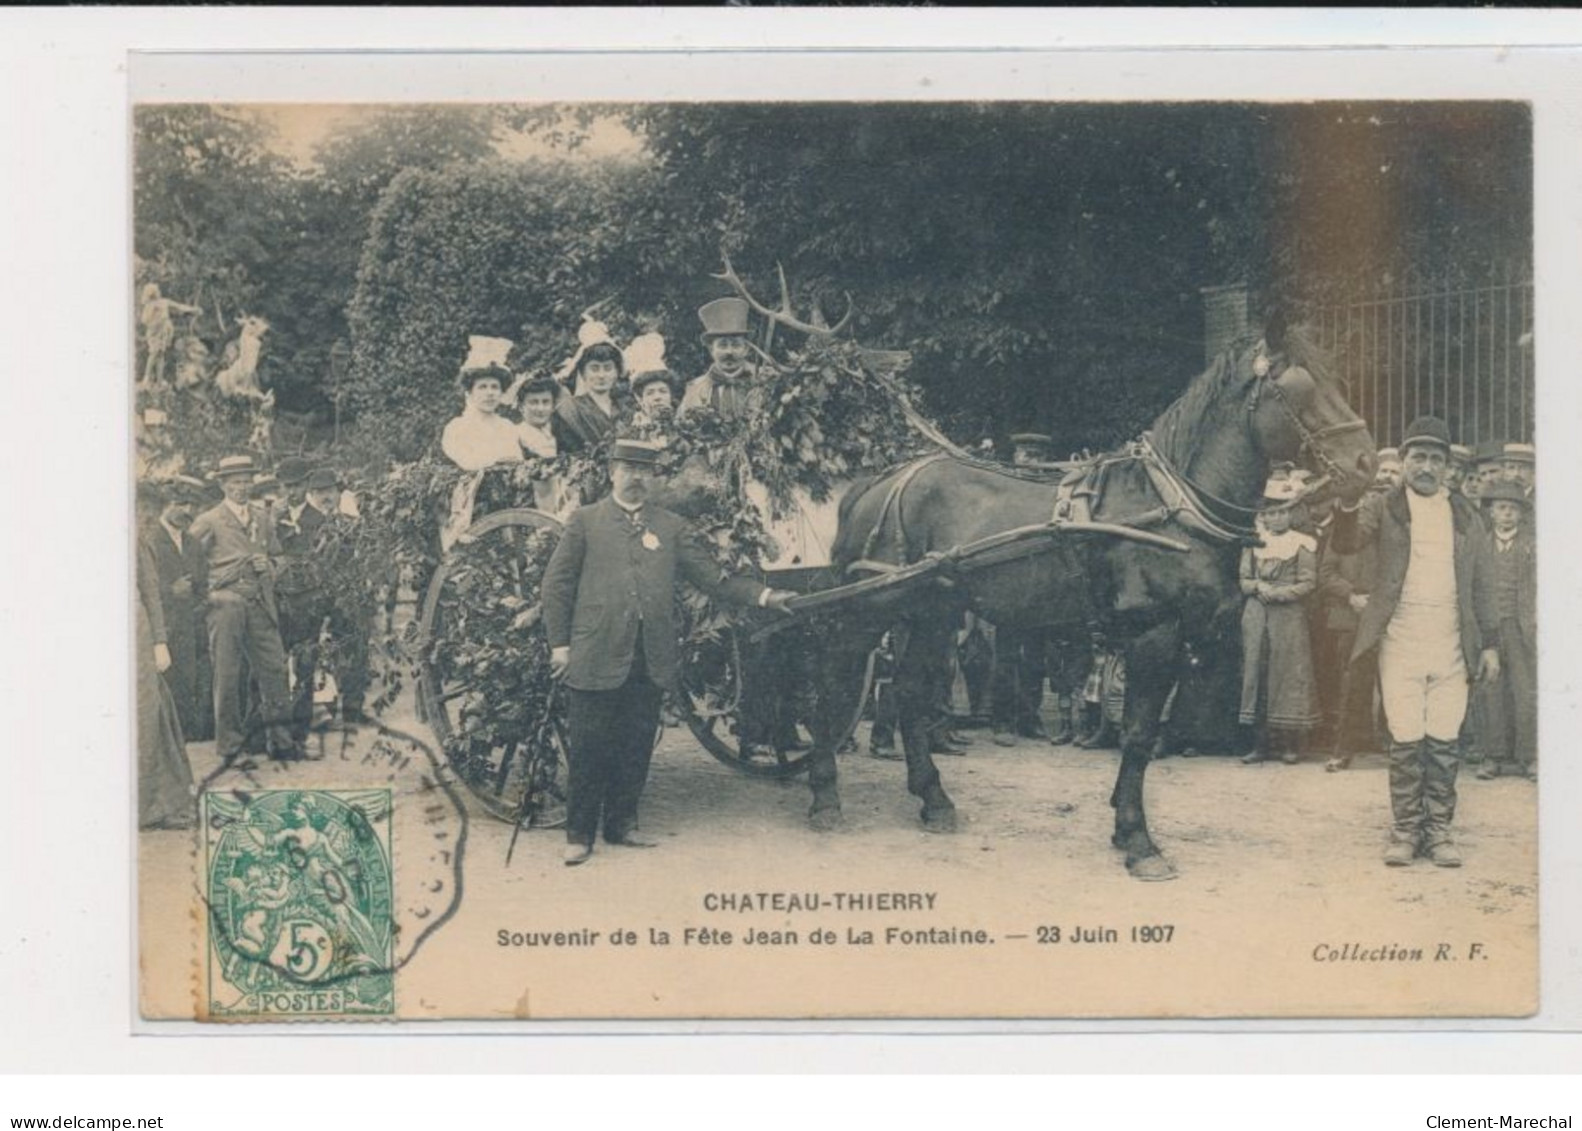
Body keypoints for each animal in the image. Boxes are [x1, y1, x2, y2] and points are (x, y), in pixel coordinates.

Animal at [803, 332, 1373, 879]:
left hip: (932, 611)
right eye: (1301, 389)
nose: (1367, 462)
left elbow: (1144, 734)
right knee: (833, 682)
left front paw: (1123, 824)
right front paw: (1139, 841)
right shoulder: (1153, 633)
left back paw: (933, 799)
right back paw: (824, 793)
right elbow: (1139, 735)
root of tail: (875, 482)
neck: (1172, 506)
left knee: (908, 692)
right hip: (872, 608)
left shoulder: (1175, 641)